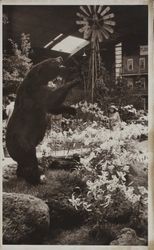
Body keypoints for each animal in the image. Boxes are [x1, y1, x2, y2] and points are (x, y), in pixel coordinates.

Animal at [6, 57, 78, 185]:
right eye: (52, 61)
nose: (60, 57)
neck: (37, 80)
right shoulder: (36, 93)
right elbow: (51, 99)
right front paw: (74, 81)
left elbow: (53, 107)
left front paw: (72, 110)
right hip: (22, 142)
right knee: (30, 161)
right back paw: (37, 179)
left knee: (23, 164)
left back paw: (23, 175)